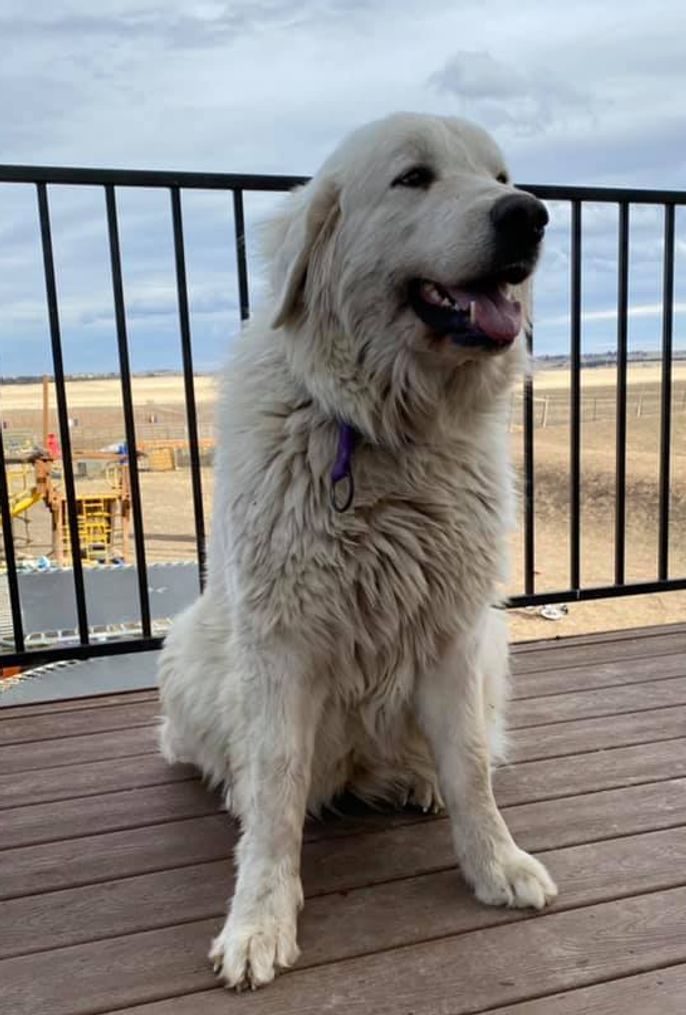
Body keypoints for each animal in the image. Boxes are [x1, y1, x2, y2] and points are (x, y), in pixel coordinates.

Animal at [157, 111, 557, 991]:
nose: (529, 215)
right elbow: (276, 792)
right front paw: (260, 919)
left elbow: (472, 765)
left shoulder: (454, 632)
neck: (386, 430)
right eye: (414, 178)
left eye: (501, 175)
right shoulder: (278, 646)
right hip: (192, 648)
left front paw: (495, 862)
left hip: (495, 642)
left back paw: (419, 783)